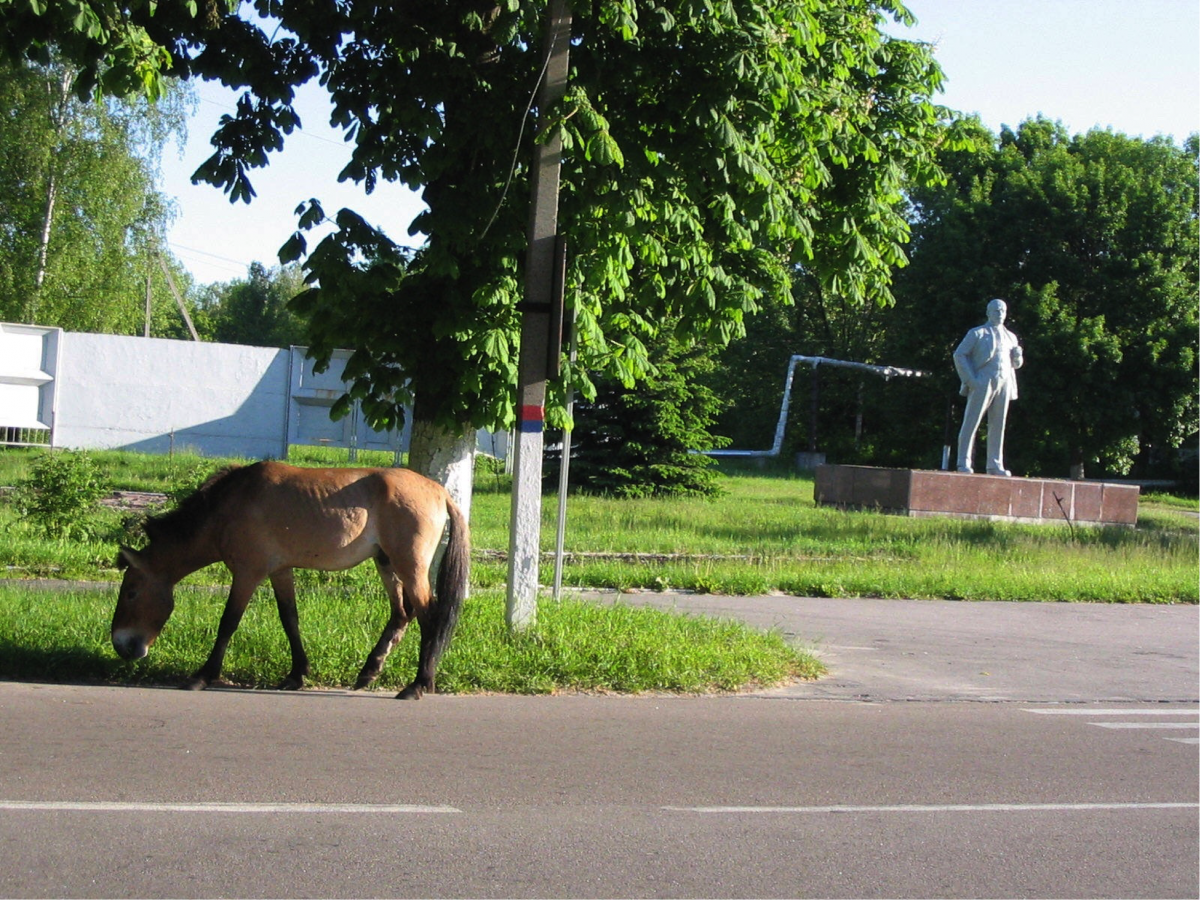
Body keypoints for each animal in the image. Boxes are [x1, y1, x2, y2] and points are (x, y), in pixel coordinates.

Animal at [111, 460, 468, 700]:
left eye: (131, 592)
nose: (121, 645)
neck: (227, 506)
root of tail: (439, 491)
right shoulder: (280, 571)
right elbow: (290, 619)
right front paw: (296, 674)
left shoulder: (247, 573)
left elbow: (228, 623)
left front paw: (203, 676)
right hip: (386, 563)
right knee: (402, 613)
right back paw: (370, 671)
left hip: (409, 565)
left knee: (429, 616)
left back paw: (418, 684)